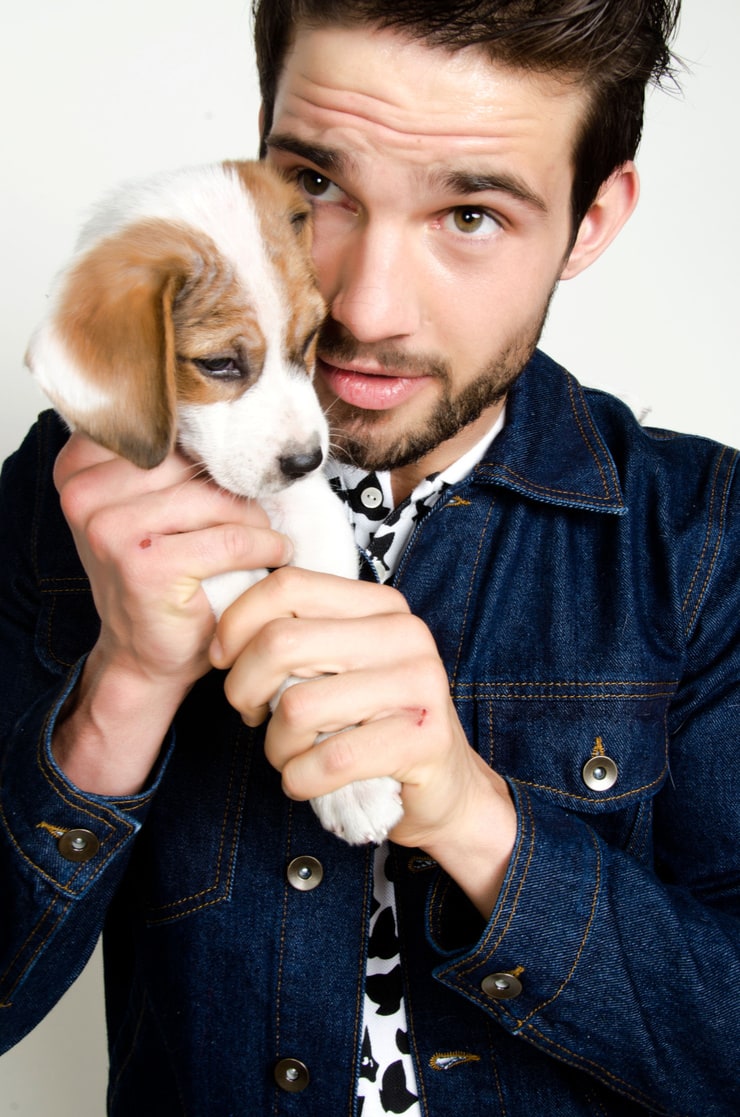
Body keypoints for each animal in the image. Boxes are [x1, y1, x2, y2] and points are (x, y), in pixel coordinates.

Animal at [26, 157, 402, 844]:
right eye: (221, 363)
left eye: (310, 339)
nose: (307, 462)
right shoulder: (185, 549)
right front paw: (349, 783)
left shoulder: (309, 513)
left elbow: (317, 626)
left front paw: (348, 758)